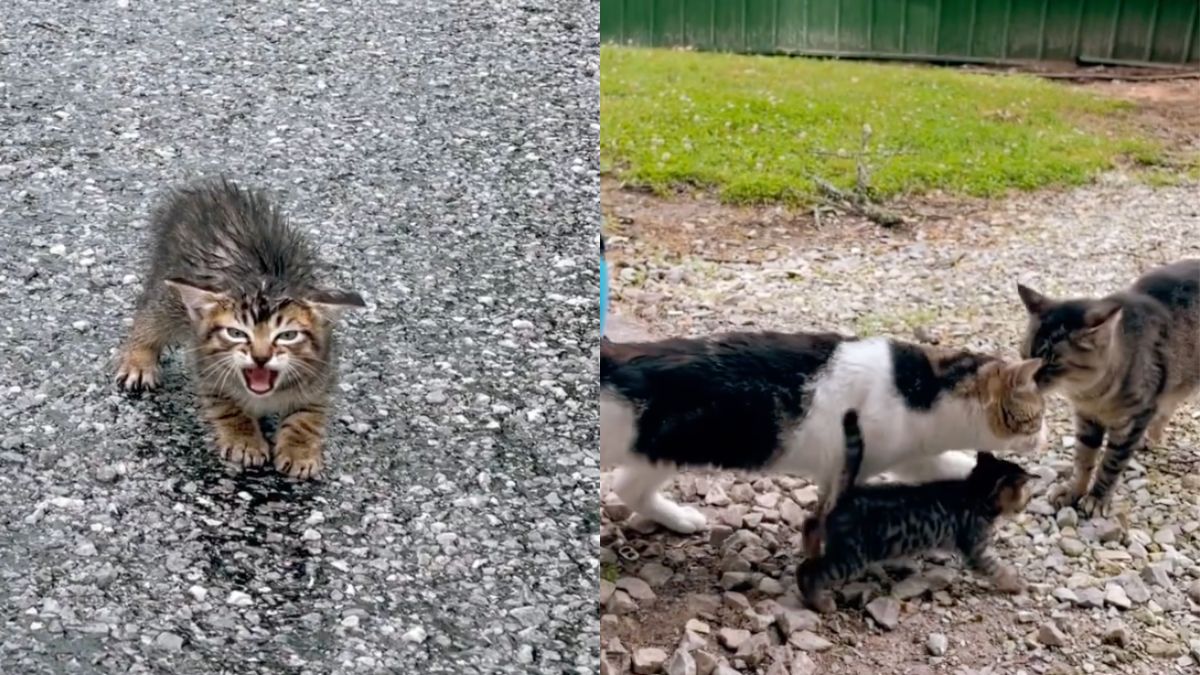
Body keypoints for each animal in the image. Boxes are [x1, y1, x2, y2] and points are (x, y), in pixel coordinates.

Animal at [115, 176, 364, 475]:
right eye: (236, 333)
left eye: (288, 335)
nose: (260, 357)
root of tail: (205, 193)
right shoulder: (208, 368)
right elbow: (228, 406)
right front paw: (245, 440)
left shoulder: (322, 373)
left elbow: (308, 415)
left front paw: (299, 450)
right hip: (170, 297)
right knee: (149, 319)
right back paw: (139, 360)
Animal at [600, 329, 1051, 530]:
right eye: (1037, 417)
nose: (1045, 437)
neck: (926, 389)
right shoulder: (854, 464)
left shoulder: (909, 455)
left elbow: (950, 464)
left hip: (663, 450)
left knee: (628, 488)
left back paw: (678, 519)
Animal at [796, 408, 1032, 612]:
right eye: (1023, 494)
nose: (1025, 504)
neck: (975, 490)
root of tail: (848, 495)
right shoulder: (977, 549)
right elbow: (996, 568)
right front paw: (1015, 584)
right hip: (851, 558)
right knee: (808, 572)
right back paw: (820, 602)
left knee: (811, 526)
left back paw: (811, 550)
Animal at [1022, 258, 1200, 514]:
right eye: (1025, 355)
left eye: (1052, 362)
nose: (1027, 381)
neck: (1093, 394)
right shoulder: (1086, 418)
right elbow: (1084, 460)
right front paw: (1073, 492)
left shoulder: (1133, 421)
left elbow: (1110, 464)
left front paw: (1097, 498)